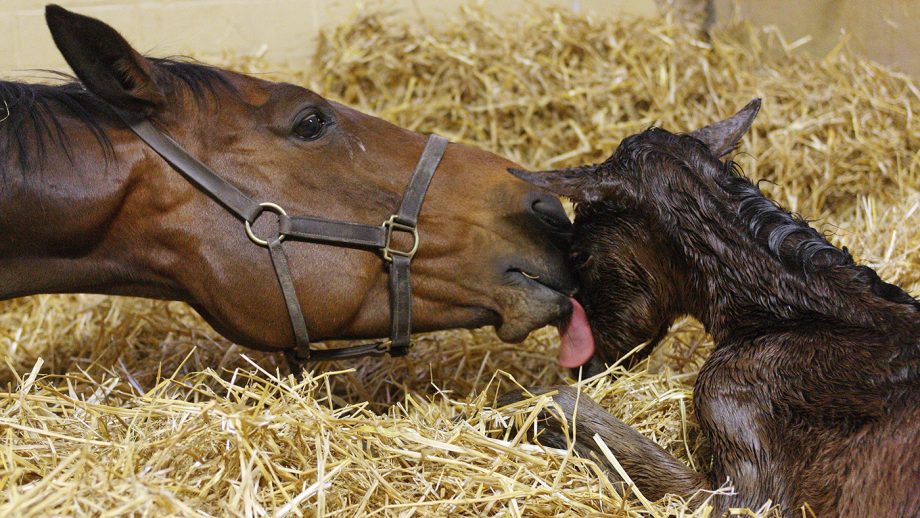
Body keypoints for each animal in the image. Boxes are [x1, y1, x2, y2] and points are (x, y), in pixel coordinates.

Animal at [503, 100, 920, 516]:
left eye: (579, 254)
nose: (585, 368)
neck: (792, 317)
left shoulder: (742, 488)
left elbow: (571, 410)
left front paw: (515, 411)